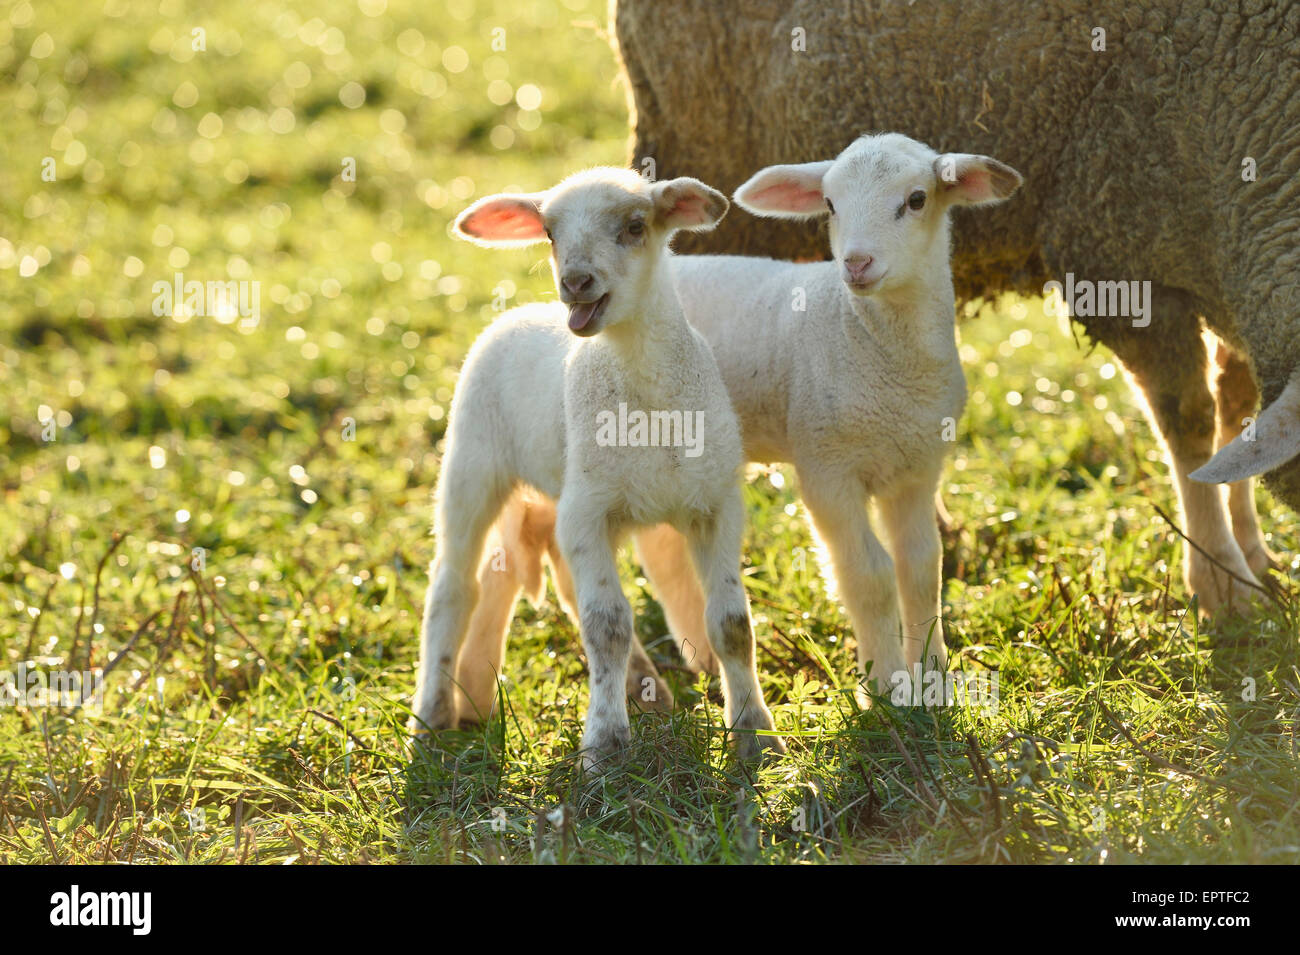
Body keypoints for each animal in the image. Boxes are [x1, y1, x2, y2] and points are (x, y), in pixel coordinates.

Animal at [409, 167, 783, 764]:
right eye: (549, 233)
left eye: (634, 226)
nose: (576, 282)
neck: (648, 398)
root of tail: (519, 312)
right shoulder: (589, 512)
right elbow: (605, 627)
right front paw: (605, 747)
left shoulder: (716, 504)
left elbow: (731, 624)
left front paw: (754, 734)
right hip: (472, 459)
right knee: (453, 585)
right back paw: (432, 715)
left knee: (531, 577)